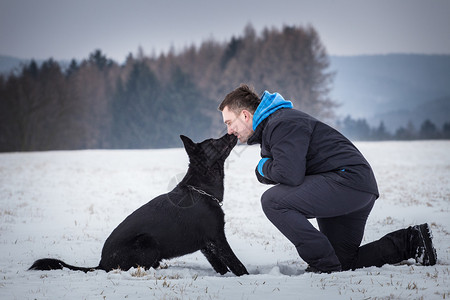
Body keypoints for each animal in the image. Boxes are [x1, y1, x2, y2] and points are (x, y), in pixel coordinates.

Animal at [29, 134, 250, 276]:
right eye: (213, 141)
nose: (230, 132)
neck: (200, 189)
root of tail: (101, 264)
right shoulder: (217, 239)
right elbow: (236, 264)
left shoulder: (207, 246)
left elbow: (221, 267)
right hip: (147, 242)